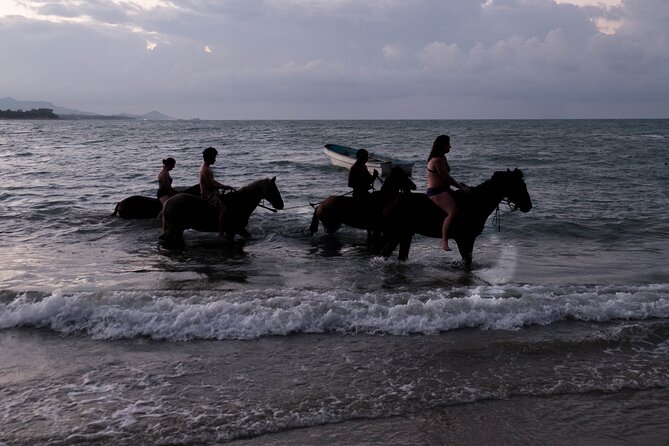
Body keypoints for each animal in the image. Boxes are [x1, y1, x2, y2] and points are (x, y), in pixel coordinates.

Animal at [380, 168, 532, 266]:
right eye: (519, 185)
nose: (528, 206)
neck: (476, 201)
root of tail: (392, 201)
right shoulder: (465, 238)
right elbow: (467, 261)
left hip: (404, 234)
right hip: (398, 233)